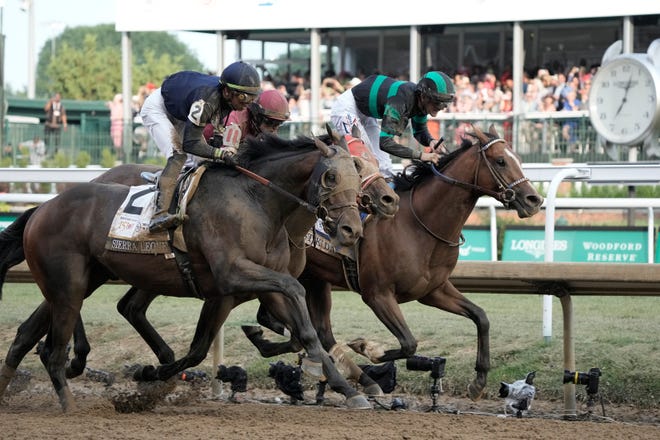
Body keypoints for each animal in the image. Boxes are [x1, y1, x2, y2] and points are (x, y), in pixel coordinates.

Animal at [0, 130, 372, 410]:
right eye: (331, 176)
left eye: (357, 175)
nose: (352, 230)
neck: (256, 201)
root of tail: (41, 208)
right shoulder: (231, 274)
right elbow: (294, 292)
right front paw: (150, 376)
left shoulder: (259, 285)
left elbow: (304, 333)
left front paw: (350, 390)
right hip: (68, 284)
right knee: (55, 344)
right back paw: (68, 398)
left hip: (81, 280)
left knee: (28, 334)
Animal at [245, 124, 544, 398]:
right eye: (500, 160)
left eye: (517, 157)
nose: (534, 199)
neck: (419, 225)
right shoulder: (377, 294)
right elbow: (409, 343)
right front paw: (367, 347)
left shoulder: (433, 290)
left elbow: (481, 317)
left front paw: (479, 381)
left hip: (315, 278)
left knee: (313, 331)